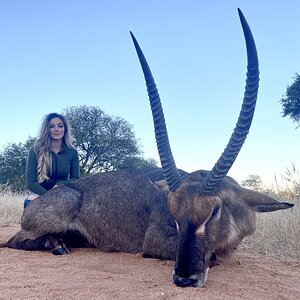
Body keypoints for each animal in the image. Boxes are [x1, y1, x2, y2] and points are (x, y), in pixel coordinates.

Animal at [5, 8, 294, 288]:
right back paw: (55, 245)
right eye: (174, 214)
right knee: (13, 240)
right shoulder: (155, 238)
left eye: (214, 211)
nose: (184, 278)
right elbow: (214, 257)